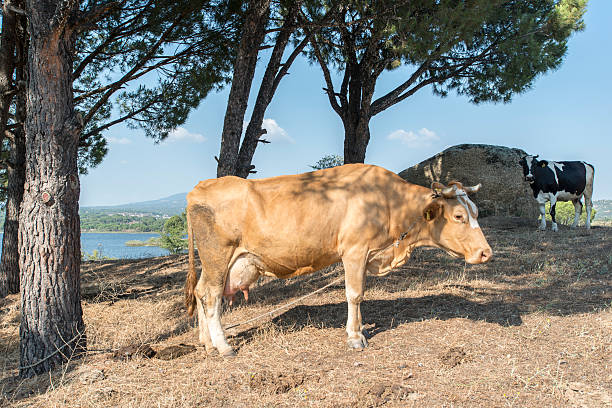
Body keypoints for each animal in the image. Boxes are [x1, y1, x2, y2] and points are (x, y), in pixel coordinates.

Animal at [183, 164, 492, 356]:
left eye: (476, 212)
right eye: (458, 216)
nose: (486, 252)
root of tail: (198, 188)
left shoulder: (366, 254)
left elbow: (361, 294)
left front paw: (360, 328)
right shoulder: (354, 251)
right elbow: (354, 294)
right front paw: (355, 337)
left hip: (217, 262)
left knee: (200, 292)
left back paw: (207, 343)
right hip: (218, 255)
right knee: (211, 297)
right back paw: (223, 347)